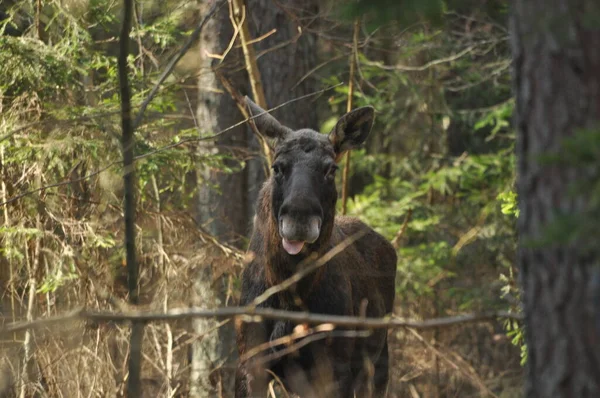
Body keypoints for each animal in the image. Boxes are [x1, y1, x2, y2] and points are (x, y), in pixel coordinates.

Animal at [236, 97, 398, 398]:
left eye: (331, 168)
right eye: (278, 167)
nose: (299, 219)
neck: (290, 297)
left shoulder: (334, 369)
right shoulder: (249, 362)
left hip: (377, 359)